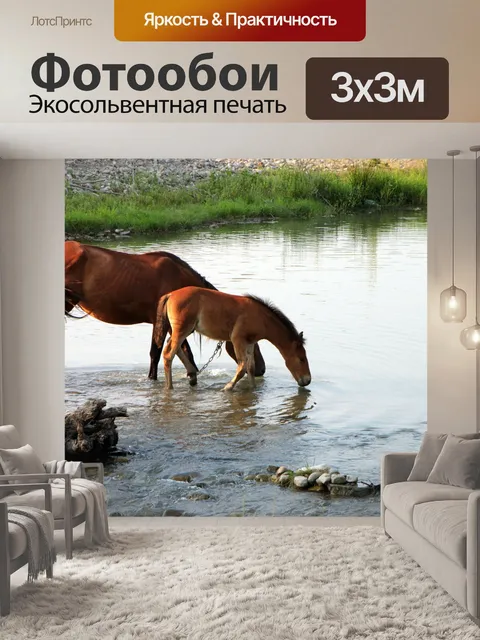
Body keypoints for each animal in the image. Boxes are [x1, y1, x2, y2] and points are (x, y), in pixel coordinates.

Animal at [65, 241, 266, 385]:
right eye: (253, 341)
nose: (261, 370)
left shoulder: (177, 325)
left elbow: (185, 352)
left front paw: (191, 375)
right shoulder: (161, 322)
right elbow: (156, 353)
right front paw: (152, 380)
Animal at [154, 286, 311, 391]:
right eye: (301, 359)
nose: (307, 380)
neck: (261, 318)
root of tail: (171, 294)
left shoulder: (250, 343)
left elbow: (250, 367)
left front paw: (253, 389)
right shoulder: (237, 340)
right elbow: (242, 368)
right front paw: (227, 388)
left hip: (182, 331)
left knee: (173, 349)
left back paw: (191, 375)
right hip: (182, 331)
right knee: (168, 354)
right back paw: (170, 387)